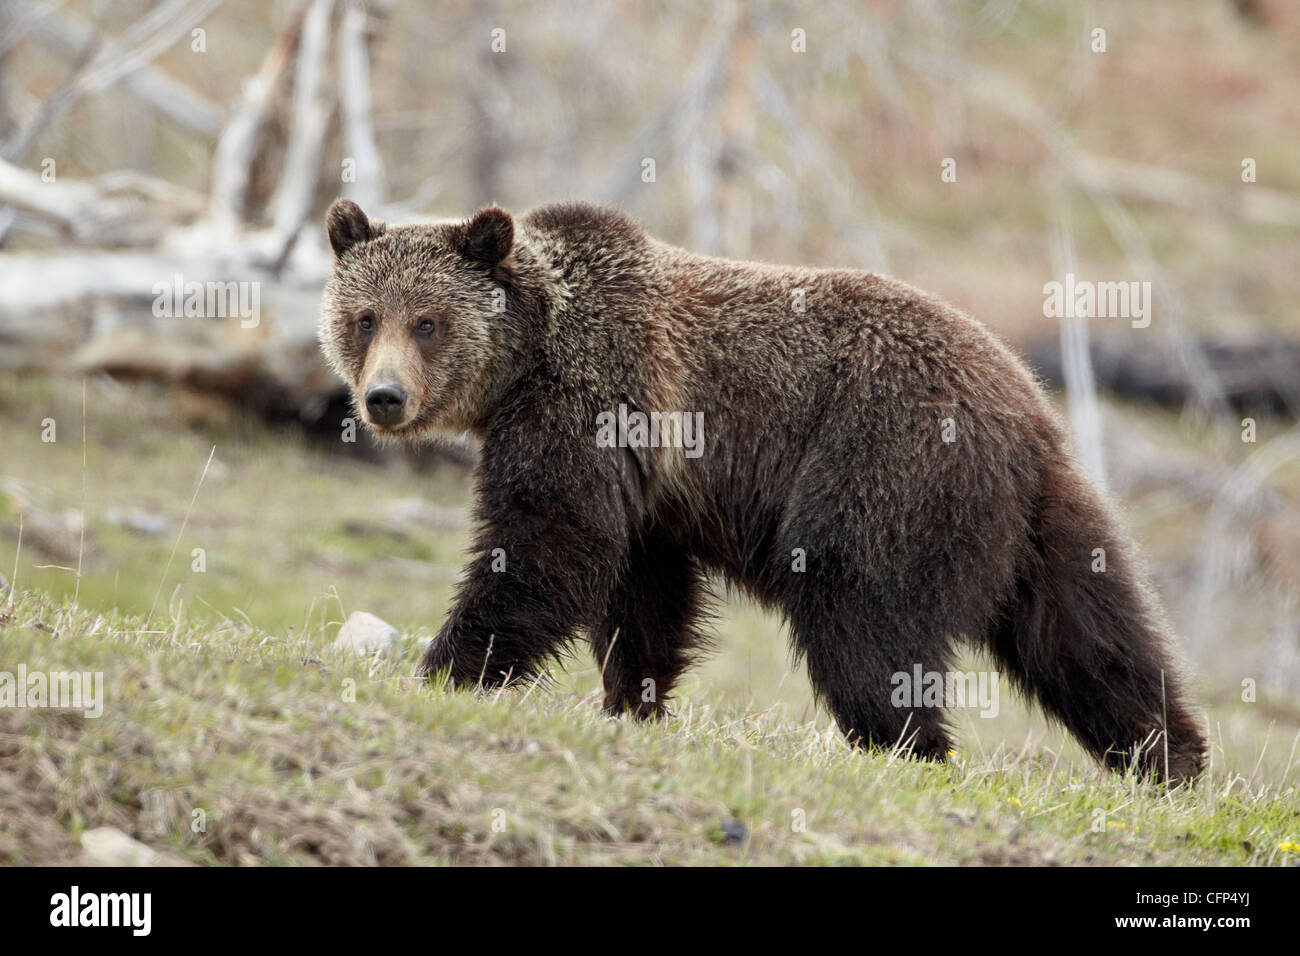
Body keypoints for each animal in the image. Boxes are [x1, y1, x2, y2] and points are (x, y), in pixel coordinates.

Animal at [317, 196, 1206, 785]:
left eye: (427, 320)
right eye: (364, 317)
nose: (384, 398)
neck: (528, 356)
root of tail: (1026, 407)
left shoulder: (594, 402)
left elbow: (547, 542)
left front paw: (450, 666)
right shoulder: (651, 482)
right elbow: (643, 590)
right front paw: (633, 699)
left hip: (884, 462)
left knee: (858, 607)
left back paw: (906, 744)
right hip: (1045, 518)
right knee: (1092, 637)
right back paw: (1169, 758)